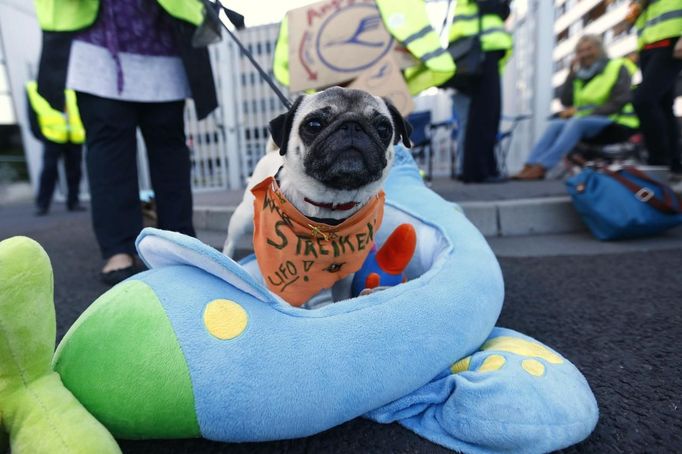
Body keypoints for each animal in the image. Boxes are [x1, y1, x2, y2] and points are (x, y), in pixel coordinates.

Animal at [223, 86, 412, 306]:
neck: (331, 206)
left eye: (383, 128)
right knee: (230, 242)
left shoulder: (345, 275)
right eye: (314, 125)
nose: (352, 125)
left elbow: (342, 298)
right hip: (242, 218)